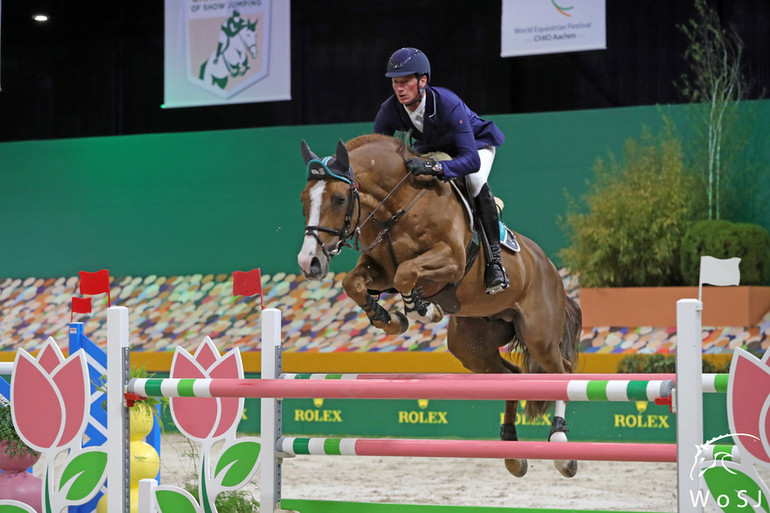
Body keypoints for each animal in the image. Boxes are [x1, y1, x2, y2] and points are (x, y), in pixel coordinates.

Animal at [296, 134, 580, 478]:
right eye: (303, 200)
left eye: (339, 199)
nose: (309, 262)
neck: (399, 207)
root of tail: (549, 267)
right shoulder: (380, 269)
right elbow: (353, 283)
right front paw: (389, 319)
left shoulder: (451, 261)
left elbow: (407, 273)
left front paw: (423, 310)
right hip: (471, 347)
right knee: (511, 375)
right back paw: (512, 452)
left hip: (539, 335)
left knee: (562, 370)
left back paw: (561, 446)